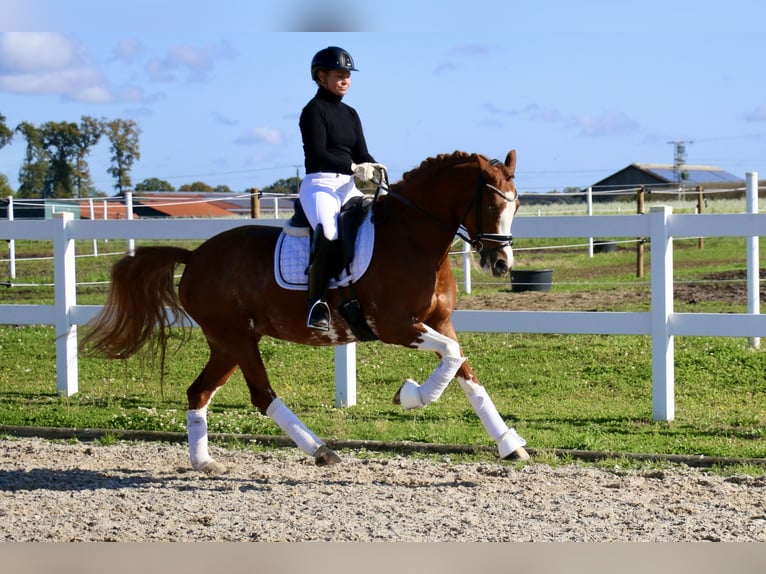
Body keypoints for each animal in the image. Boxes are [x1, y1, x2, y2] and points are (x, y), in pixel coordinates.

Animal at [82, 151, 528, 474]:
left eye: (517, 205)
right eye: (491, 204)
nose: (500, 264)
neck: (412, 238)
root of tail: (195, 257)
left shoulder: (439, 323)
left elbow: (464, 370)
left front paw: (508, 444)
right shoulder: (395, 326)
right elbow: (451, 359)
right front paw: (411, 395)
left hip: (227, 343)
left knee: (199, 392)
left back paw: (204, 462)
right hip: (238, 339)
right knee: (261, 395)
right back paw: (320, 450)